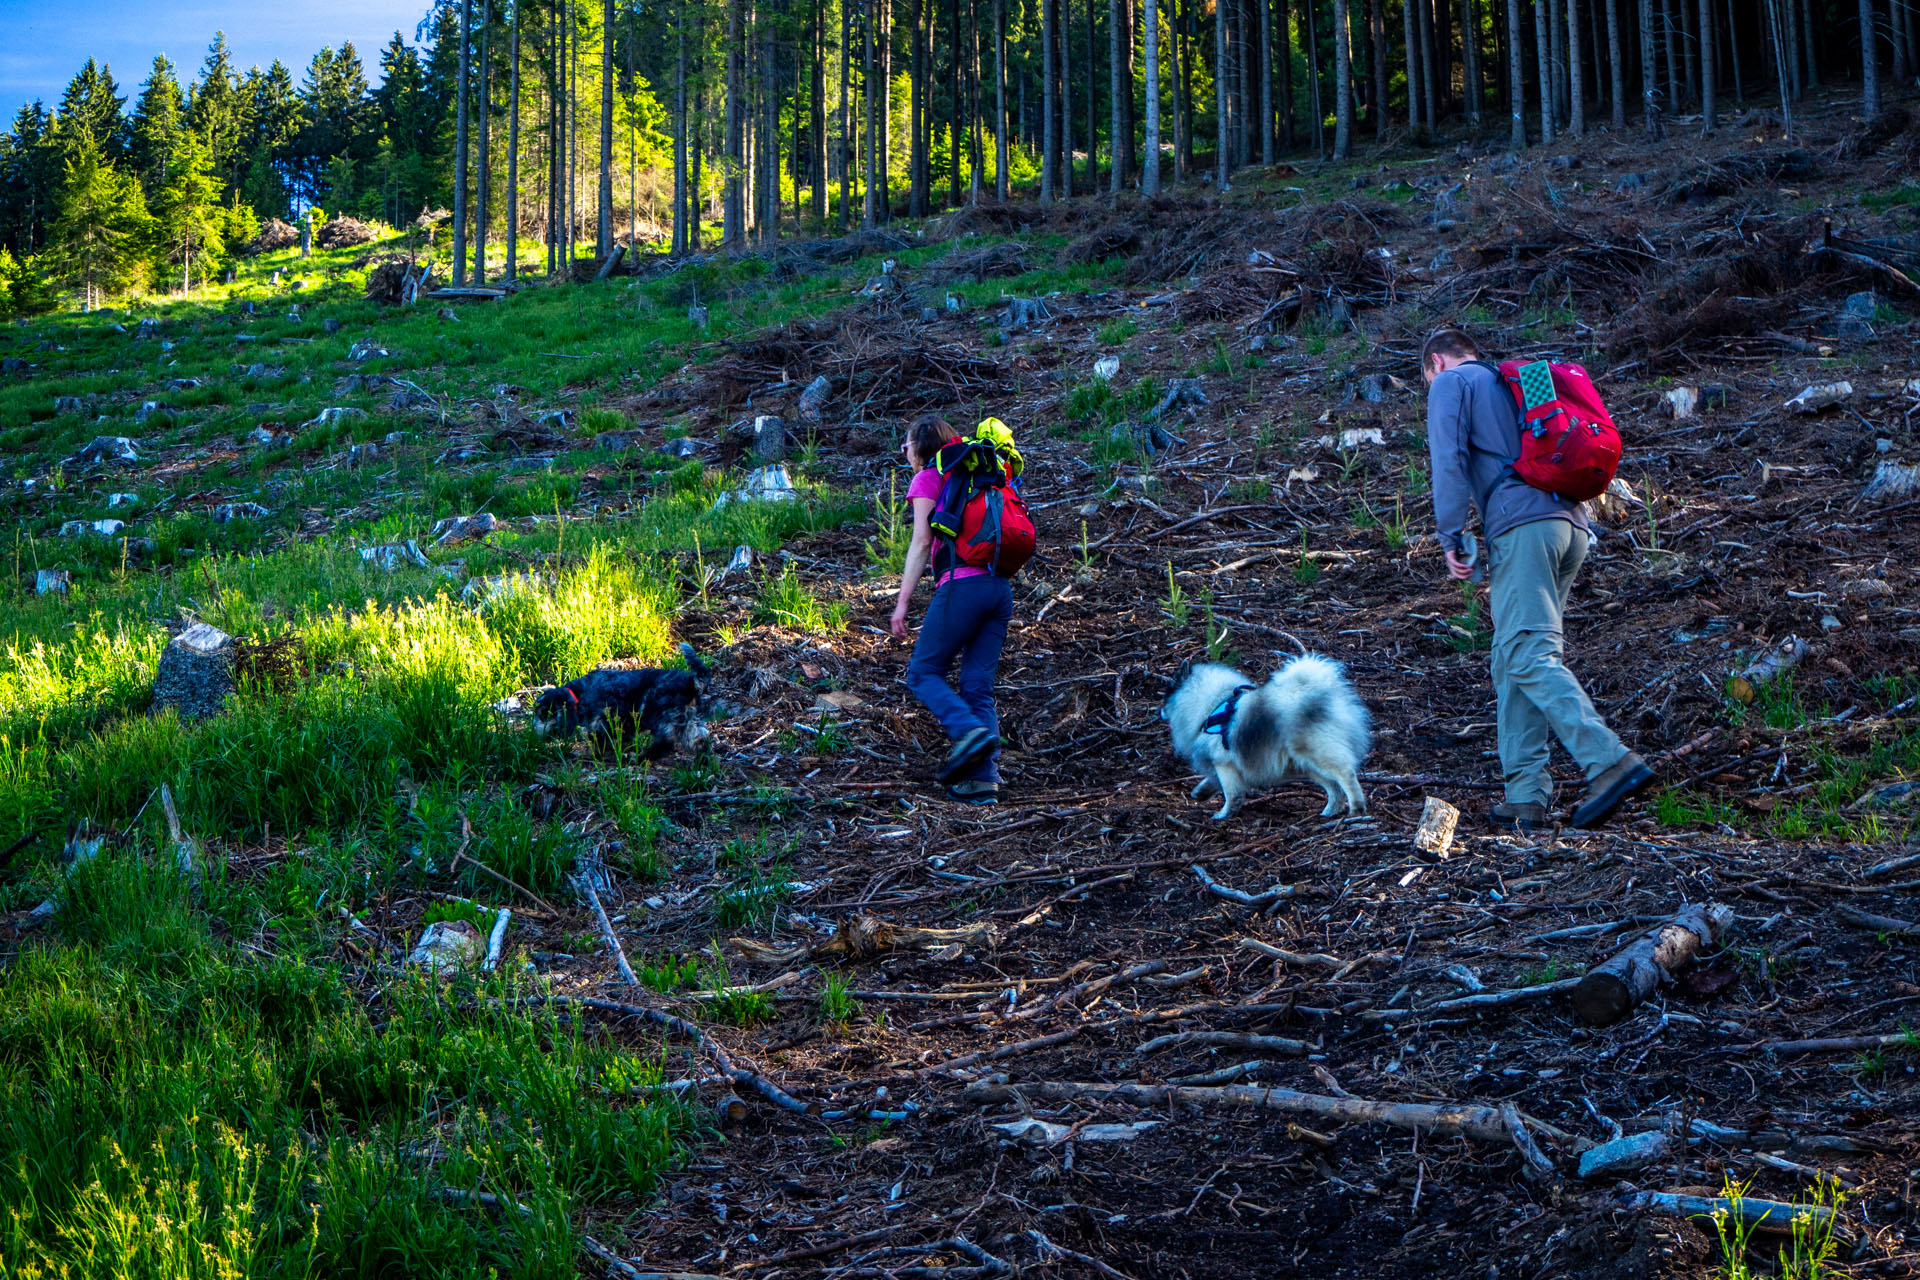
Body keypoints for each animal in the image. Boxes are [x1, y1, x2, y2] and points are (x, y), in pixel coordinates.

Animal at [533, 644, 714, 756]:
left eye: (544, 714)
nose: (534, 732)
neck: (580, 693)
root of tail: (690, 681)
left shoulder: (606, 718)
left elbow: (599, 737)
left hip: (662, 716)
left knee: (665, 743)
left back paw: (641, 758)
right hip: (685, 718)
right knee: (698, 737)